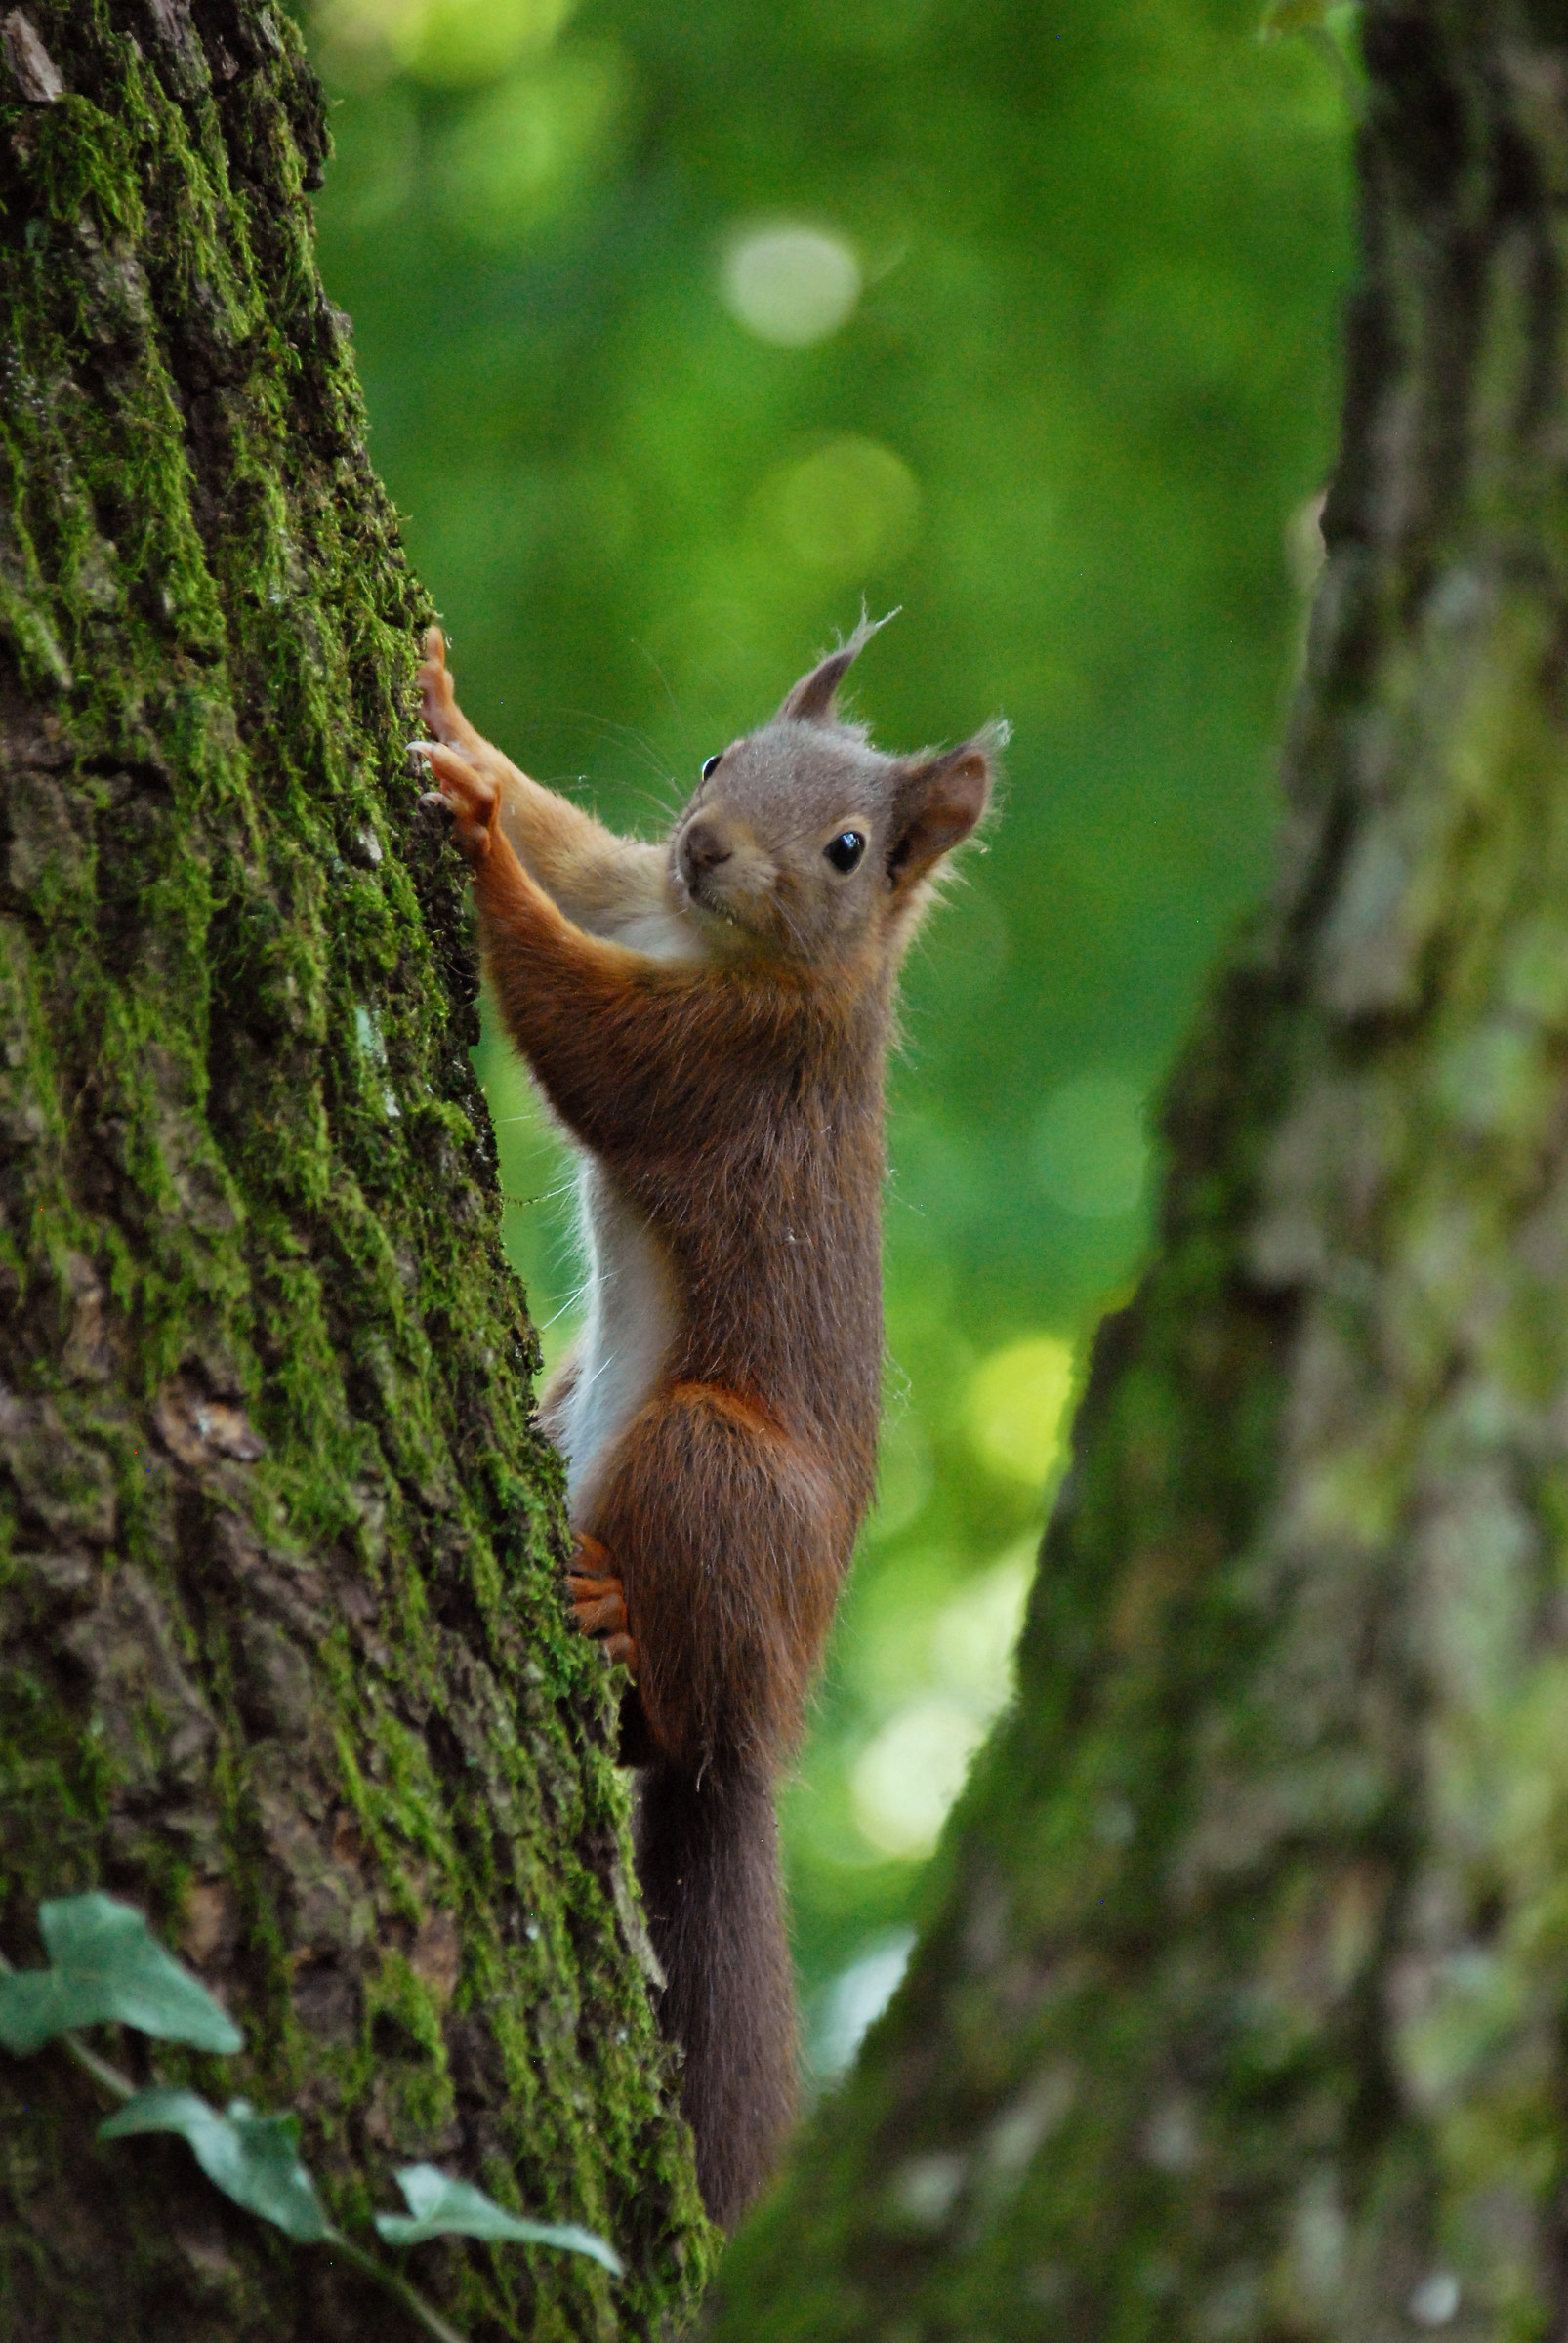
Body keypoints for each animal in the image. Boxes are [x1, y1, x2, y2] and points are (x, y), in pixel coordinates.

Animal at [412, 615, 1000, 2229]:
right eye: (715, 757)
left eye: (850, 848)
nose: (708, 850)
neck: (716, 946)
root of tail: (758, 1744)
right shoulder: (635, 895)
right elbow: (578, 850)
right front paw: (465, 741)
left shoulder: (726, 1076)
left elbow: (585, 1036)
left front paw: (477, 848)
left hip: (706, 1466)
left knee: (662, 1713)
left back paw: (616, 1620)